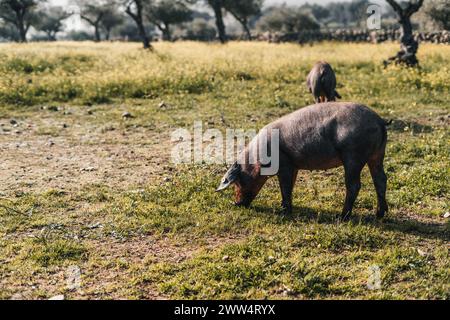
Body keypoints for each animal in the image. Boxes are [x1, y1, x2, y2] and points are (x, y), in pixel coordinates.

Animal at [216, 102, 388, 220]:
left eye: (238, 181)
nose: (236, 203)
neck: (257, 159)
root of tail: (379, 121)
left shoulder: (284, 164)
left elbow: (285, 186)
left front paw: (284, 212)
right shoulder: (293, 166)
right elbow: (290, 186)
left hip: (353, 156)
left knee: (354, 185)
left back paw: (342, 216)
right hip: (377, 155)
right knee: (381, 179)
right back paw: (380, 215)